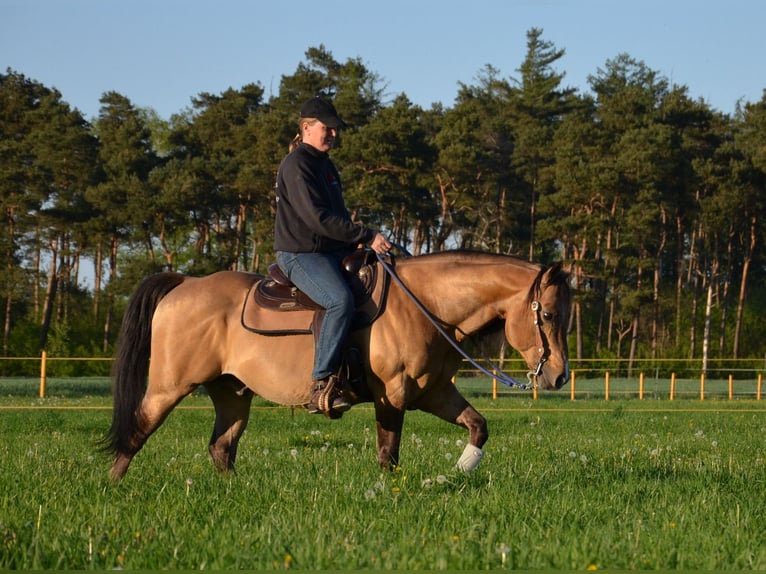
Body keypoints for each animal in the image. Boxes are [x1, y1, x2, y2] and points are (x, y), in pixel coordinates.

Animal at [103, 250, 571, 481]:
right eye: (548, 314)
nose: (559, 375)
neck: (423, 305)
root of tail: (184, 284)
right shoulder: (392, 395)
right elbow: (388, 453)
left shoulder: (435, 392)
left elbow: (478, 426)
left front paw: (459, 472)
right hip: (169, 386)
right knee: (137, 431)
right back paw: (113, 485)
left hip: (232, 393)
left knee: (221, 447)